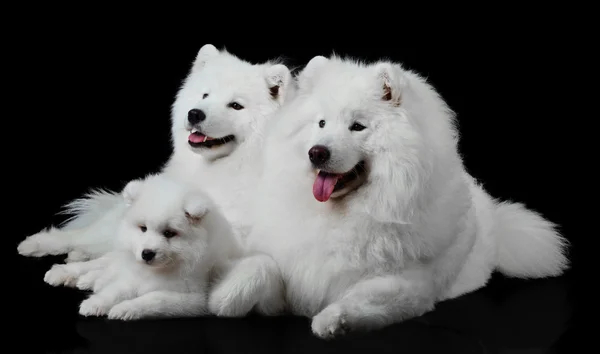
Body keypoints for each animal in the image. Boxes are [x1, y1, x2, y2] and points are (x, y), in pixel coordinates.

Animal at [43, 173, 243, 320]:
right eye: (143, 228)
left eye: (169, 233)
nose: (147, 253)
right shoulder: (132, 277)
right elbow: (115, 291)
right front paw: (95, 303)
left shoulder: (192, 298)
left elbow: (154, 299)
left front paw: (124, 309)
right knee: (94, 259)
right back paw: (60, 269)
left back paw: (87, 279)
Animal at [209, 54, 568, 338]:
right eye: (321, 123)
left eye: (357, 126)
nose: (317, 152)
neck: (343, 214)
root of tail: (493, 211)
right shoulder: (294, 273)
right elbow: (262, 266)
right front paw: (223, 298)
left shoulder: (408, 284)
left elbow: (363, 298)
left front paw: (331, 321)